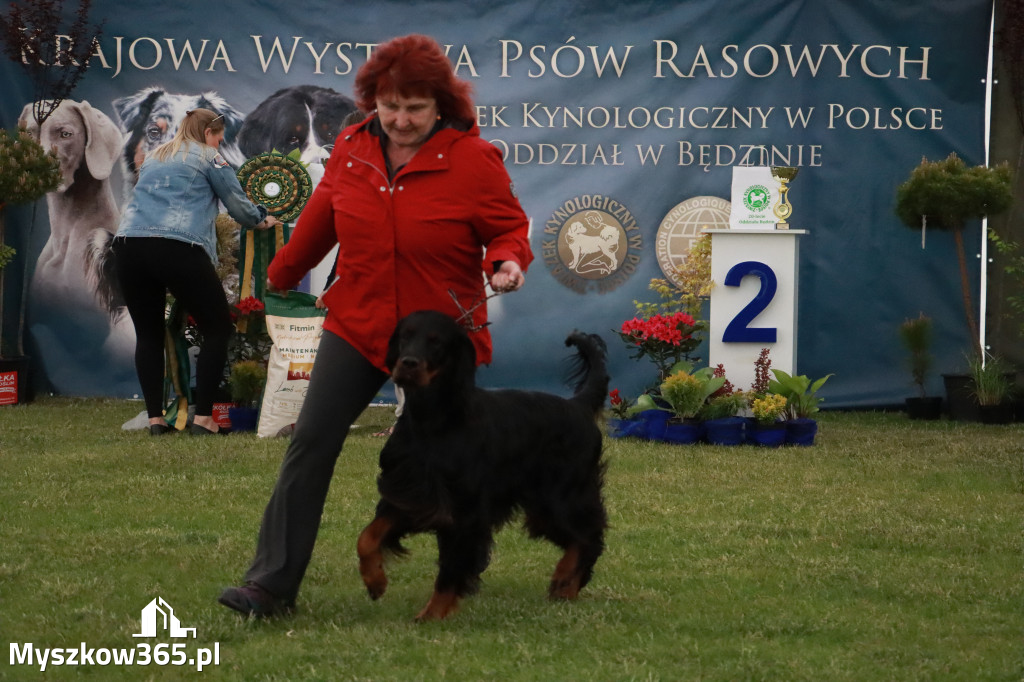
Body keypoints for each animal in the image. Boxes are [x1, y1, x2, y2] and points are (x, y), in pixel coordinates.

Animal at [358, 311, 606, 618]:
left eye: (436, 341)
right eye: (405, 335)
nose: (408, 363)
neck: (434, 420)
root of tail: (578, 405)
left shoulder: (465, 510)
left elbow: (451, 569)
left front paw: (432, 615)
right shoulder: (410, 492)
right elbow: (367, 537)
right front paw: (375, 580)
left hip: (562, 496)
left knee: (589, 536)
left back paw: (564, 579)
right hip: (543, 508)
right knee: (579, 537)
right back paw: (566, 586)